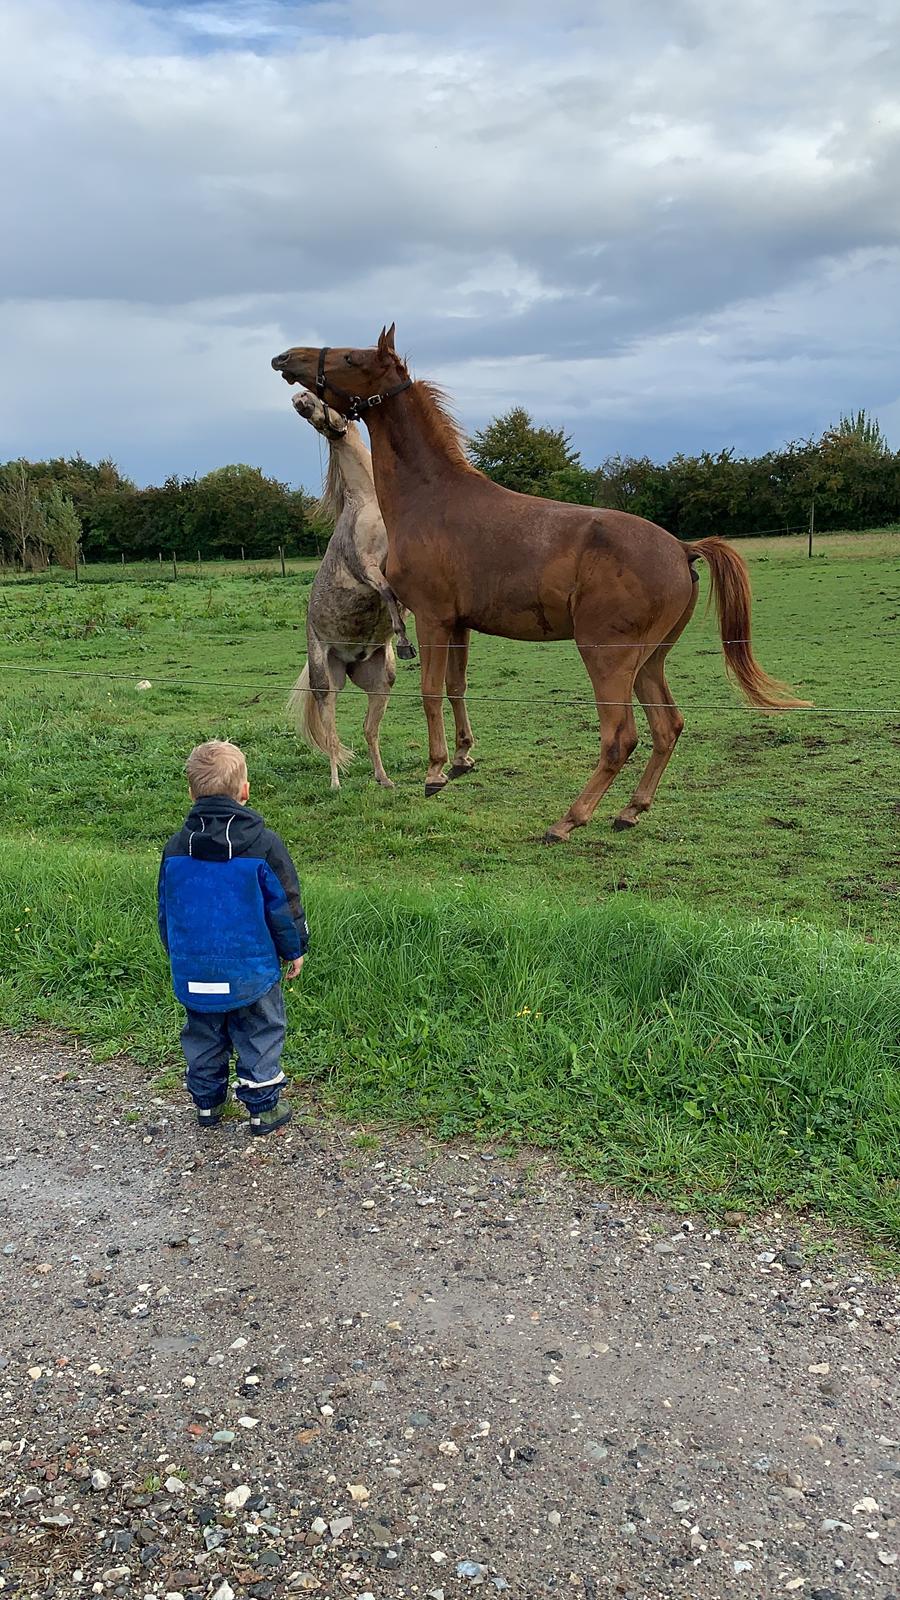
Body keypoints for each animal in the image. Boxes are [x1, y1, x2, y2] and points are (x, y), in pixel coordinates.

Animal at [269, 329, 800, 844]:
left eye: (352, 358)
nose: (285, 358)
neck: (431, 498)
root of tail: (681, 549)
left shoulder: (433, 619)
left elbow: (430, 692)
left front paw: (436, 772)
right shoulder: (460, 624)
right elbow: (457, 687)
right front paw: (462, 760)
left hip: (607, 658)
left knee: (620, 738)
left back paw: (568, 821)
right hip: (650, 661)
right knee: (668, 728)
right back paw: (630, 811)